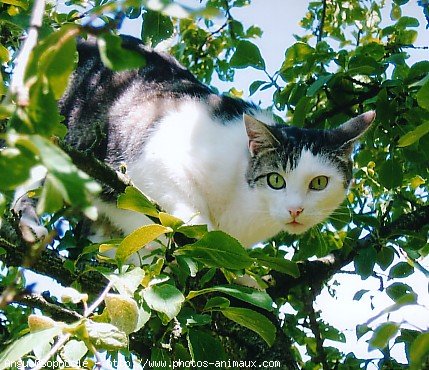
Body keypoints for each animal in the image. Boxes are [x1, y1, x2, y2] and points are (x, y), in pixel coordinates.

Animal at [16, 35, 372, 249]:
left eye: (319, 183)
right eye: (275, 180)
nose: (296, 209)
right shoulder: (153, 157)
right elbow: (190, 212)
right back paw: (30, 223)